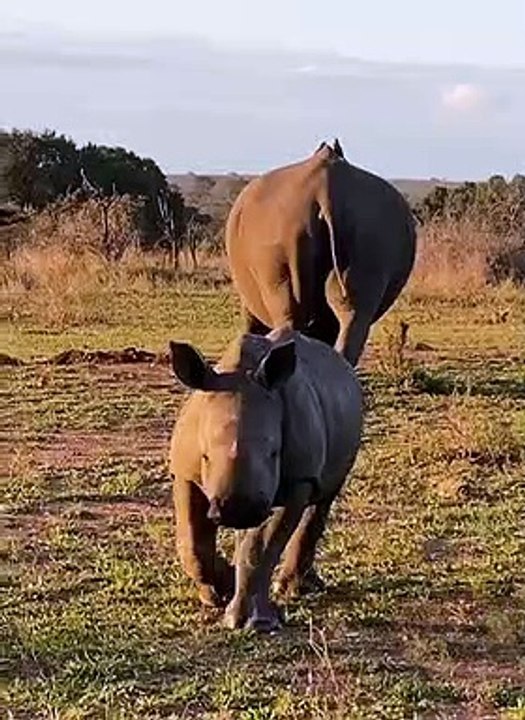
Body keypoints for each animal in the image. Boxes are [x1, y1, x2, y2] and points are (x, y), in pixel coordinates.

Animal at [168, 327, 363, 631]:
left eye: (275, 453)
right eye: (205, 457)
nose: (239, 509)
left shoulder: (299, 478)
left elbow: (262, 546)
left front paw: (254, 623)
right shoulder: (185, 472)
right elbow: (192, 545)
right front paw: (219, 591)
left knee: (324, 498)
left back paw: (294, 589)